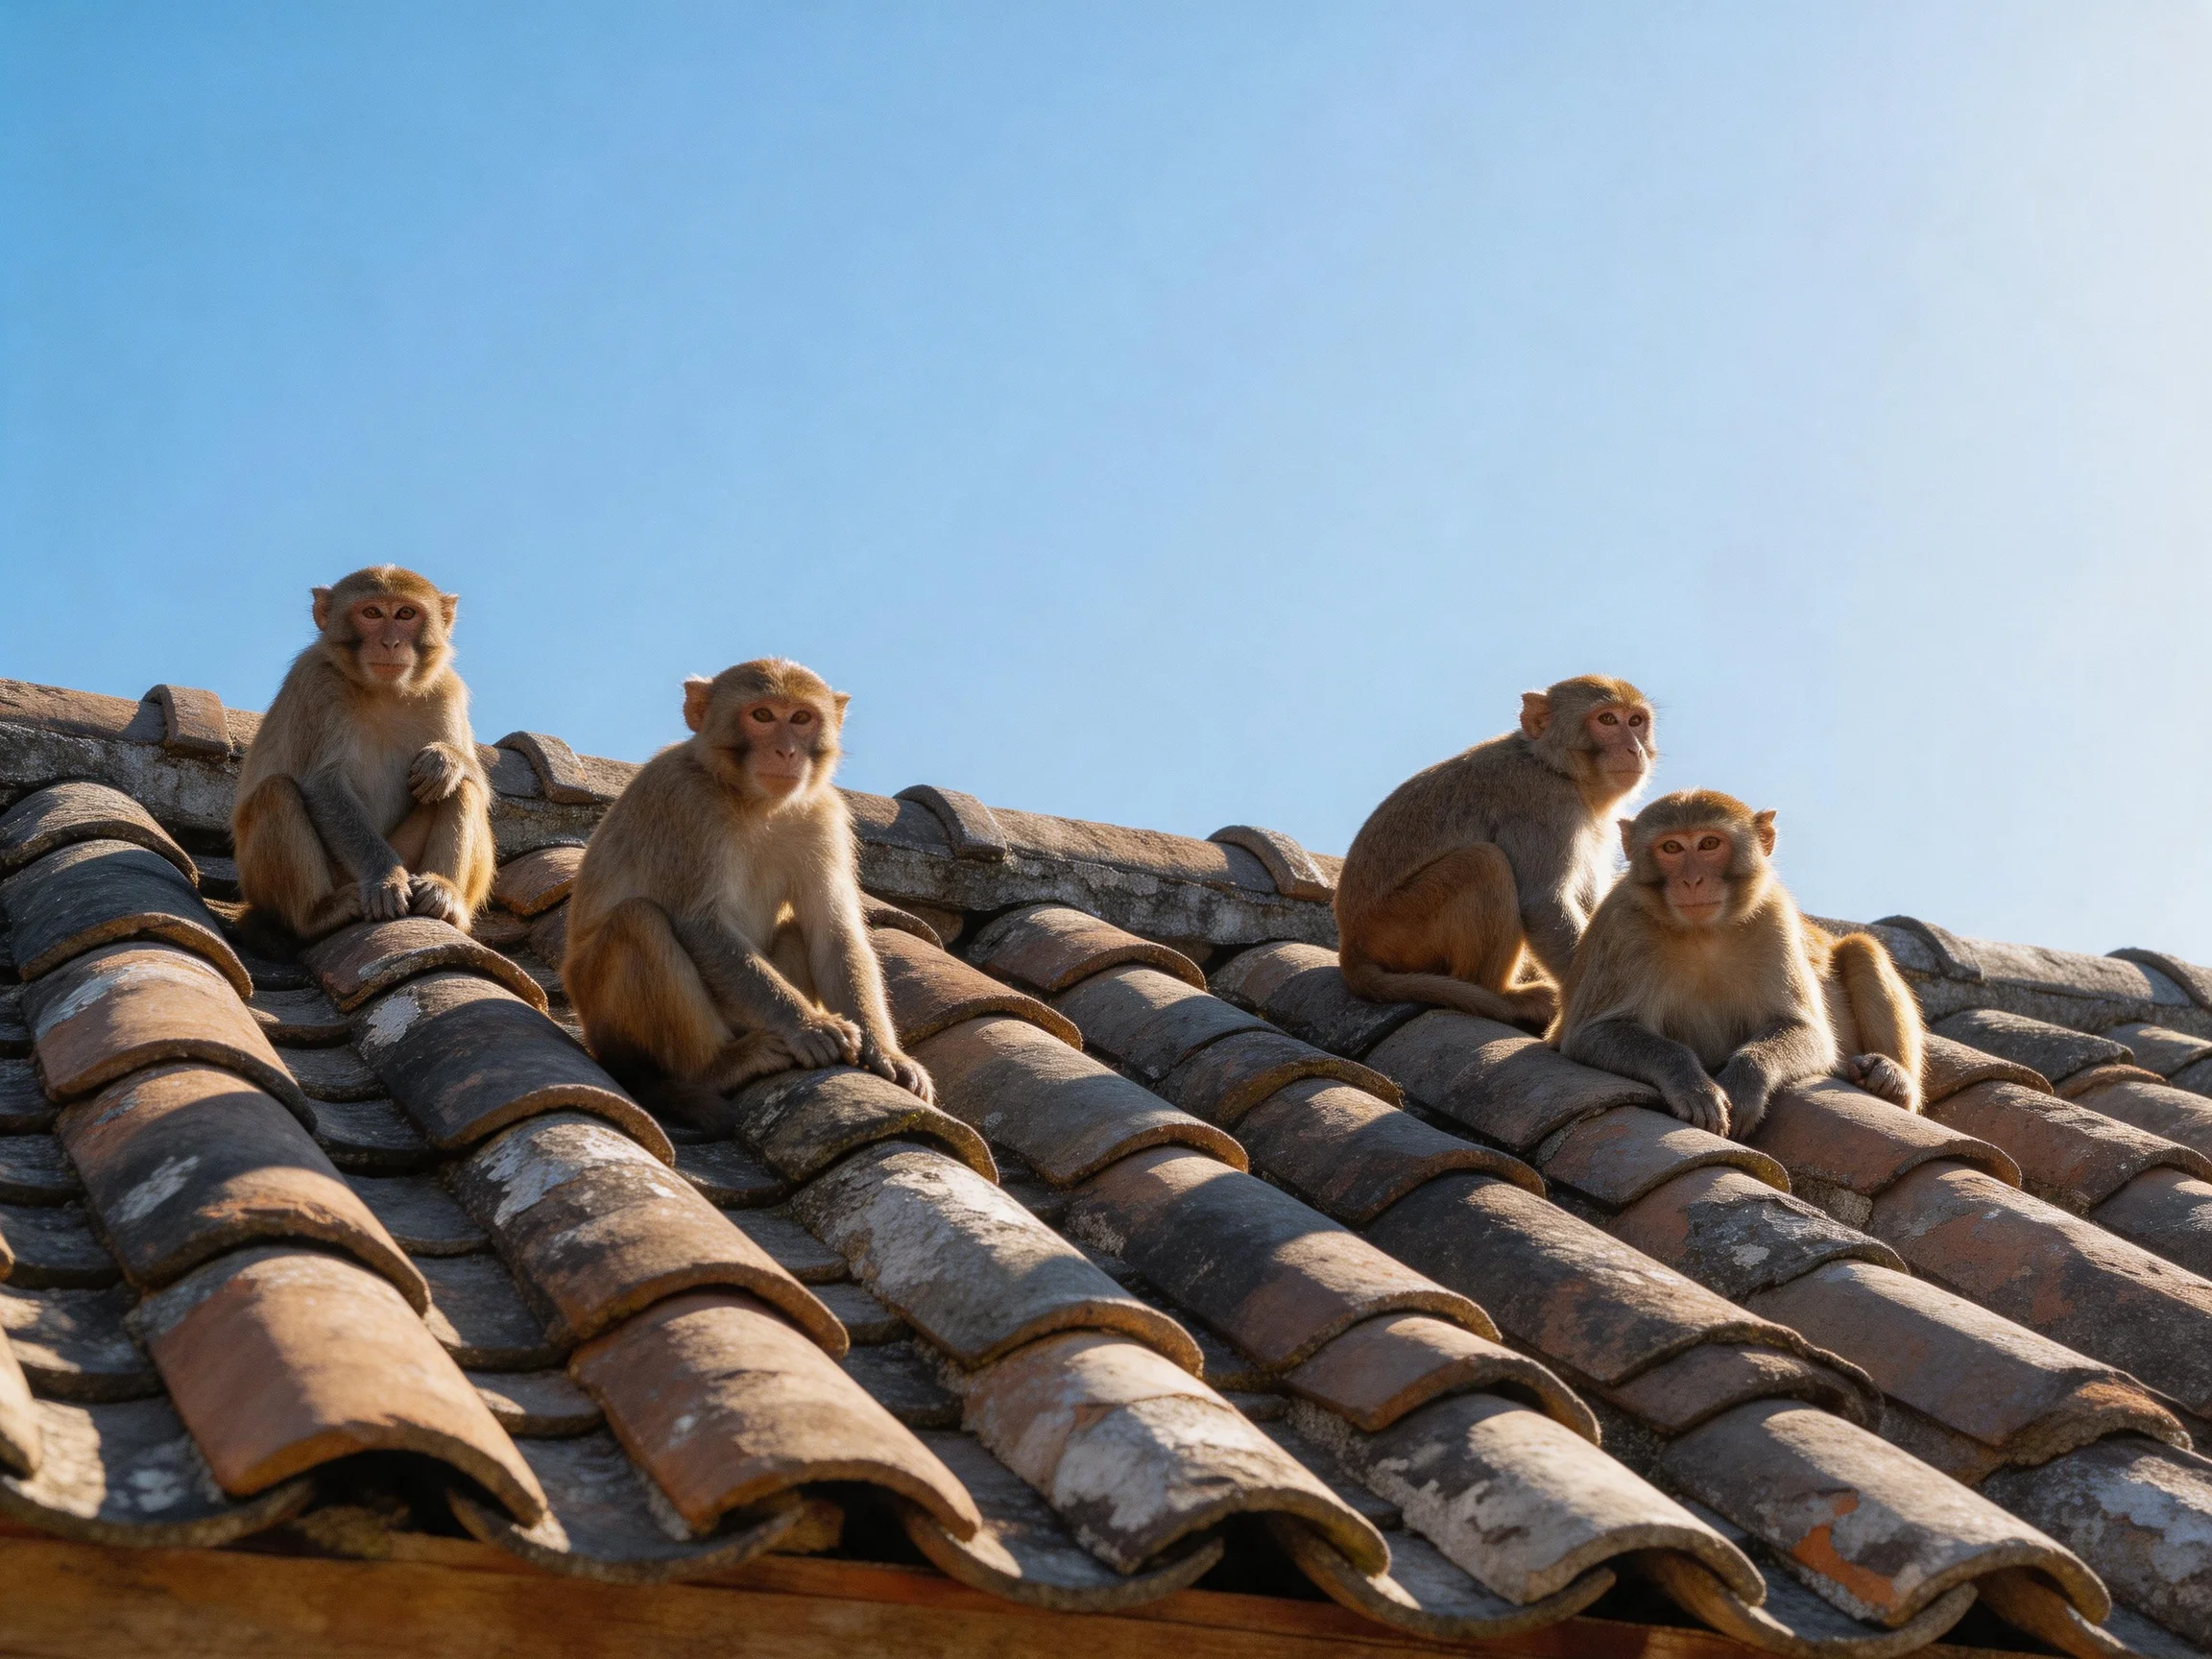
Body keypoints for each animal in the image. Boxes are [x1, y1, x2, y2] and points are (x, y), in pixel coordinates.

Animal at [232, 566, 495, 942]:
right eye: (372, 613)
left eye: (405, 614)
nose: (390, 643)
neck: (385, 692)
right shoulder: (315, 682)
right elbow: (323, 785)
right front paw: (385, 879)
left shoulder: (447, 689)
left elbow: (478, 785)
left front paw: (446, 761)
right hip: (265, 883)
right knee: (276, 792)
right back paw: (318, 913)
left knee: (461, 789)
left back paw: (444, 895)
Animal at [561, 658, 931, 1125]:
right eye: (762, 716)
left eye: (801, 718)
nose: (787, 752)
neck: (755, 802)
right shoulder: (684, 801)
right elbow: (699, 924)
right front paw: (807, 1025)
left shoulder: (823, 815)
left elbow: (834, 933)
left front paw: (887, 1054)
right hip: (605, 1021)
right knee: (638, 921)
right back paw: (714, 1067)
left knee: (796, 930)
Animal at [1334, 675, 1654, 1031]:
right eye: (1608, 720)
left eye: (1636, 721)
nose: (1635, 749)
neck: (1554, 767)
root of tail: (1352, 942)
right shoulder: (1543, 804)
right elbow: (1542, 903)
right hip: (1397, 926)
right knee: (1485, 862)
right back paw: (1501, 996)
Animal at [1550, 790, 1922, 1140]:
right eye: (1671, 847)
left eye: (1709, 844)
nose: (1692, 881)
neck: (1703, 933)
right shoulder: (1622, 924)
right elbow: (1592, 1033)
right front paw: (1692, 1085)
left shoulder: (1774, 917)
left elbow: (1806, 1030)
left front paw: (1746, 1082)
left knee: (1862, 949)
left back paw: (1891, 1080)